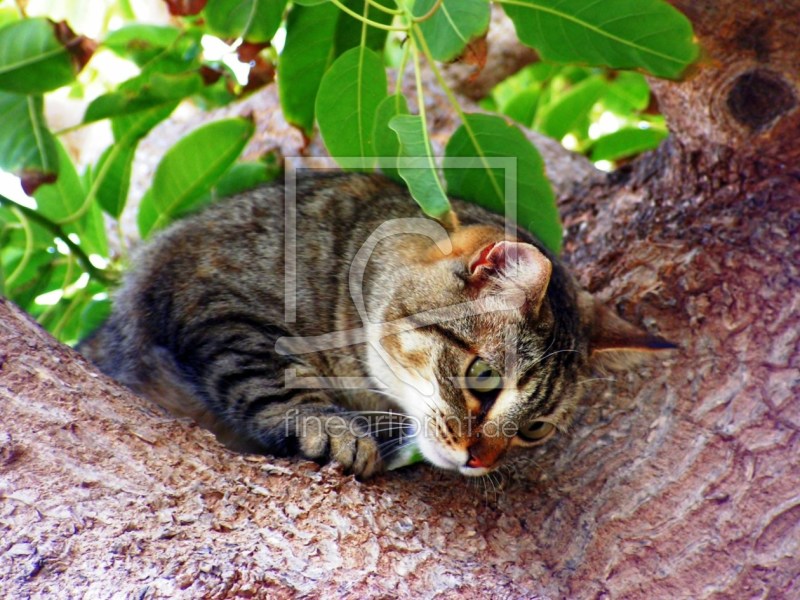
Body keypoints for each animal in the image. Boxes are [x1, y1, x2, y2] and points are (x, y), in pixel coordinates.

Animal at [81, 172, 672, 478]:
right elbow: (271, 375)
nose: (478, 460)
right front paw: (328, 427)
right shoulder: (211, 292)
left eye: (535, 429)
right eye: (483, 379)